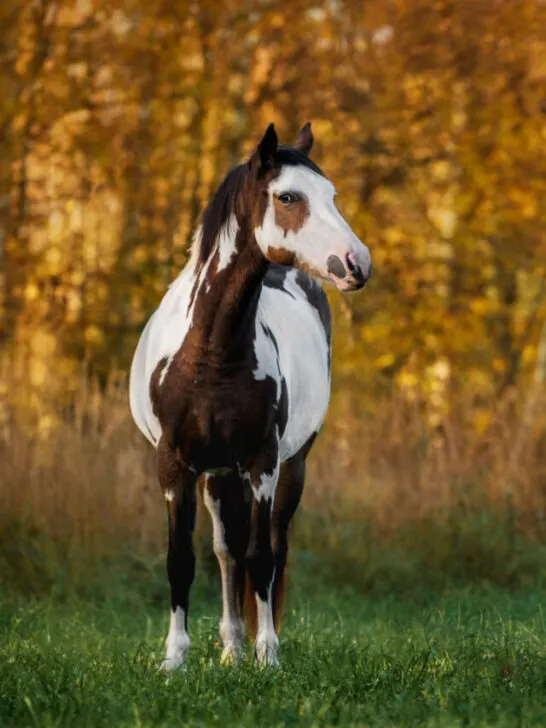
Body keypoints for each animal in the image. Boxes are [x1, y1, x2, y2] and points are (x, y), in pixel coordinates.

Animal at [129, 122, 372, 669]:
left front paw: (269, 656)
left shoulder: (263, 461)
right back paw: (230, 648)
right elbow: (182, 558)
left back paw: (249, 644)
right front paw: (174, 659)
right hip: (217, 474)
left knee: (271, 546)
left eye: (332, 195)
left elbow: (262, 557)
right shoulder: (174, 464)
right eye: (289, 197)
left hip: (290, 466)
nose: (357, 264)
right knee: (225, 550)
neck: (212, 350)